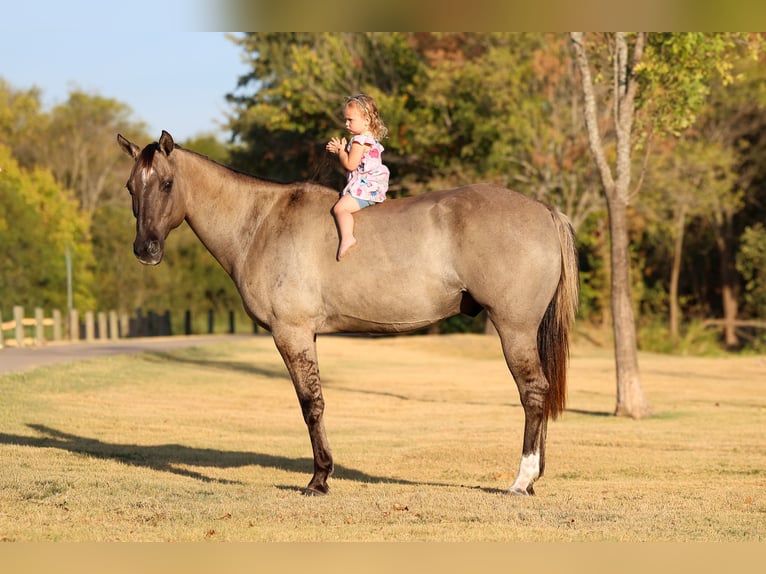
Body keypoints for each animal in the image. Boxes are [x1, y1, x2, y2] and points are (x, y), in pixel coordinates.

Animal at [117, 130, 579, 496]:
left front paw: (319, 479)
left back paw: (522, 479)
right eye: (130, 187)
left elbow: (311, 404)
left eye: (167, 184)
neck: (261, 222)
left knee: (532, 392)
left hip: (514, 328)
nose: (145, 250)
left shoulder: (292, 333)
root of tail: (543, 209)